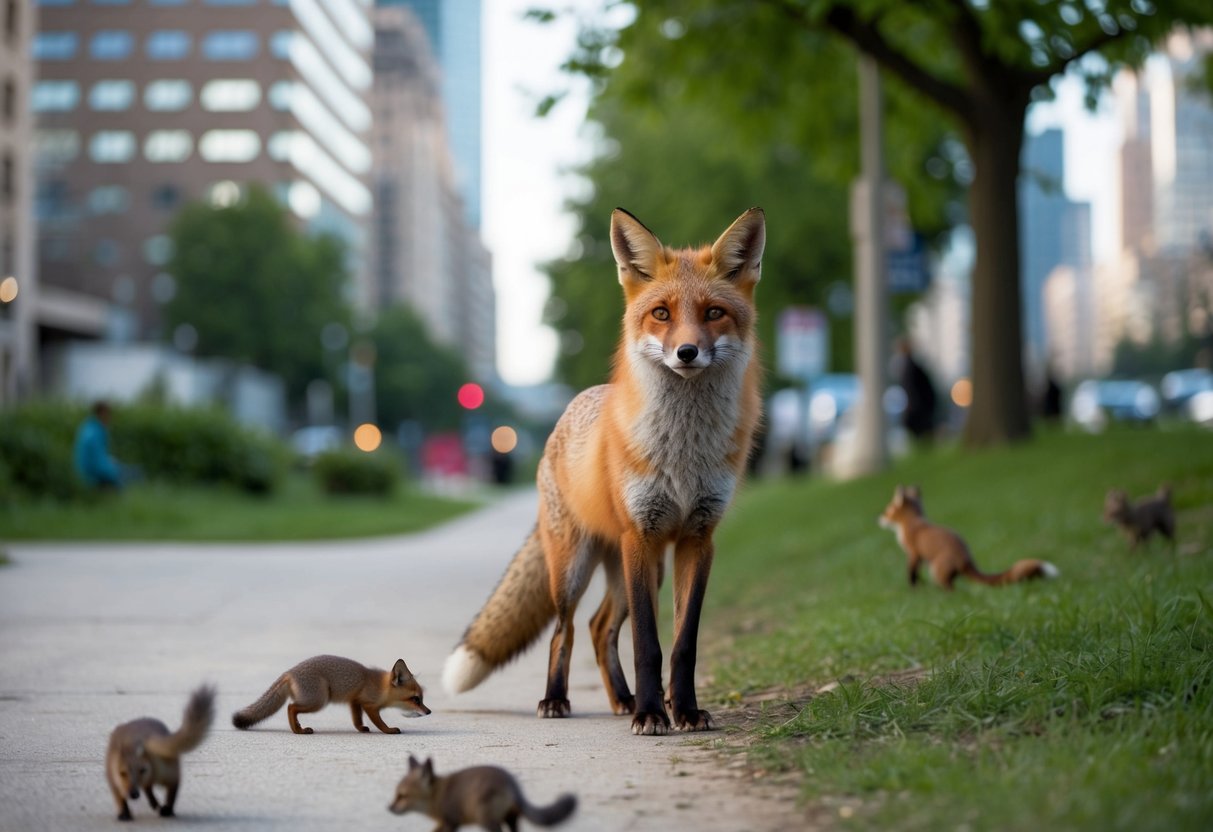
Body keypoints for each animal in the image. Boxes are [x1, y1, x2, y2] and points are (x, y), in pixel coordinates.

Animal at [105, 684, 215, 821]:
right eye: (122, 773)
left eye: (142, 770)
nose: (133, 794)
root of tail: (145, 737)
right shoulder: (113, 776)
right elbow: (119, 796)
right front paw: (124, 813)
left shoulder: (168, 773)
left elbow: (171, 791)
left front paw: (166, 809)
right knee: (148, 788)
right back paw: (154, 804)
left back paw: (159, 806)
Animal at [231, 655, 430, 735]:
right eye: (416, 699)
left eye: (422, 699)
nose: (429, 712)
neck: (379, 687)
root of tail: (289, 672)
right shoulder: (369, 705)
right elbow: (380, 722)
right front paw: (388, 730)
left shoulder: (355, 701)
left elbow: (357, 720)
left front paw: (361, 729)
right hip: (319, 700)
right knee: (290, 707)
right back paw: (298, 731)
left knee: (291, 707)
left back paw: (298, 727)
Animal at [389, 756, 577, 831]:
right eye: (396, 794)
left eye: (402, 796)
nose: (389, 808)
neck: (437, 794)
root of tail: (511, 783)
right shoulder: (443, 822)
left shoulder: (451, 821)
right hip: (509, 817)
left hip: (484, 817)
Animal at [443, 208, 765, 736]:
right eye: (662, 313)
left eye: (714, 313)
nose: (687, 353)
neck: (684, 452)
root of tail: (574, 405)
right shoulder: (642, 534)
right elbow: (648, 645)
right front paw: (652, 714)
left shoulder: (698, 538)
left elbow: (683, 643)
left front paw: (683, 710)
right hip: (576, 566)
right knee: (566, 631)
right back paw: (558, 700)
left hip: (640, 568)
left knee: (600, 628)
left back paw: (622, 699)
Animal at [879, 485, 1059, 590]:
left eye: (887, 511)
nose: (878, 519)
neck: (911, 522)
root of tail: (967, 559)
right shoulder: (919, 557)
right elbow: (915, 574)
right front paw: (919, 586)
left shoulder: (913, 553)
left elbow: (912, 573)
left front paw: (914, 587)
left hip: (935, 569)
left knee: (950, 586)